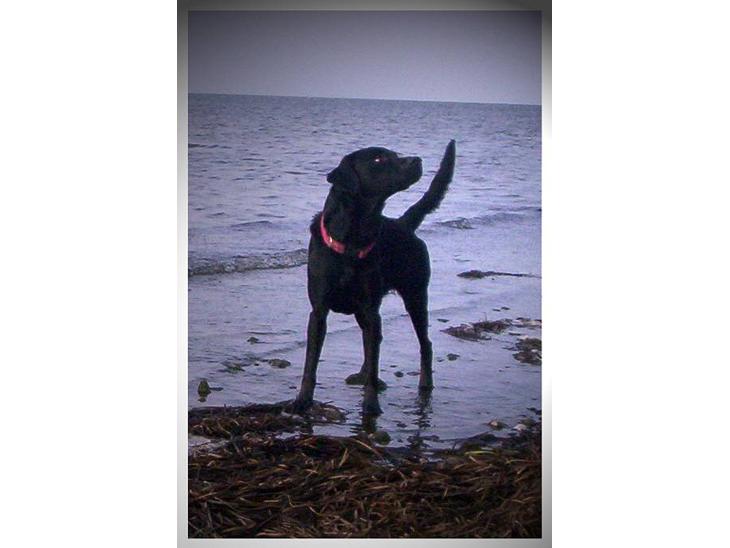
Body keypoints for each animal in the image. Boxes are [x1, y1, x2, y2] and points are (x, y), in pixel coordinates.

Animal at [291, 140, 456, 416]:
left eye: (395, 155)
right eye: (378, 160)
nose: (417, 160)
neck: (352, 241)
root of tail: (403, 224)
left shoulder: (370, 310)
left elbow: (374, 353)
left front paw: (370, 406)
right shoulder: (319, 311)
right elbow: (310, 364)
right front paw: (302, 401)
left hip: (415, 296)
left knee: (424, 344)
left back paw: (424, 384)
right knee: (374, 344)